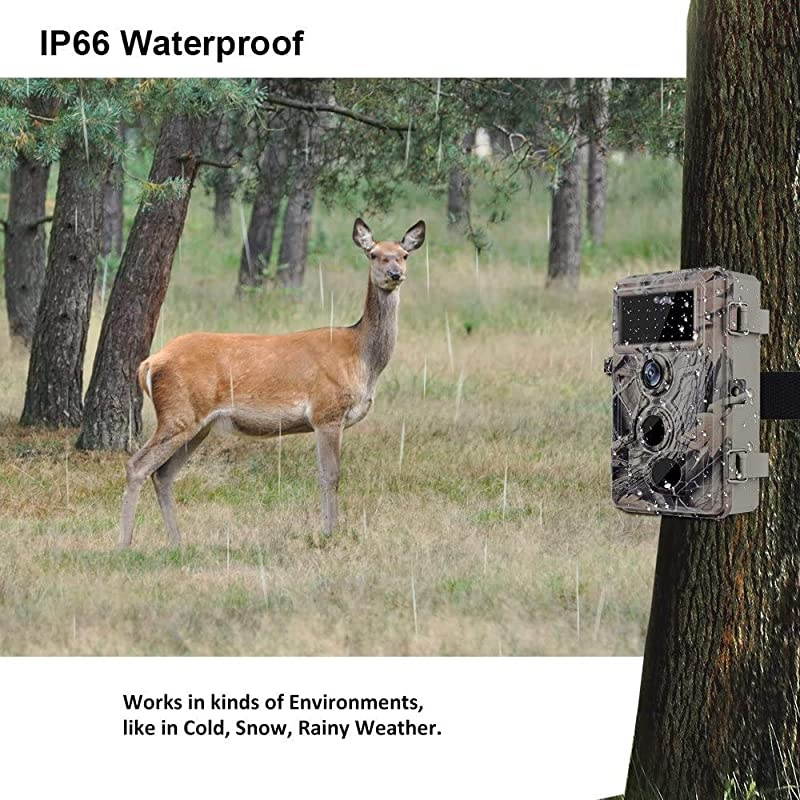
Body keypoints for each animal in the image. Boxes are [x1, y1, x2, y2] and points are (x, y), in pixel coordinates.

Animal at [119, 217, 426, 548]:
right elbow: (330, 475)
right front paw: (329, 533)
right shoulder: (326, 412)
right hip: (178, 413)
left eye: (403, 255)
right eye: (374, 254)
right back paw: (125, 544)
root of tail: (150, 363)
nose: (395, 274)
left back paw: (178, 542)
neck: (361, 357)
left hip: (199, 425)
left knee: (163, 474)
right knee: (137, 465)